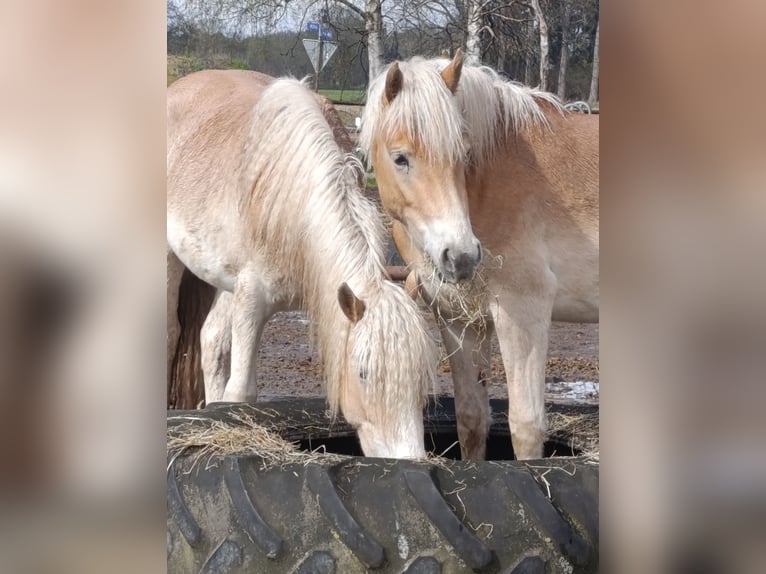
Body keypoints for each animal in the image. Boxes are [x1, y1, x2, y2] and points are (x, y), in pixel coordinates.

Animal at [167, 70, 438, 458]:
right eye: (363, 373)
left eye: (420, 377)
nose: (408, 461)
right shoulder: (251, 301)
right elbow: (240, 394)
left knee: (211, 340)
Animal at [359, 49, 599, 460]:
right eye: (401, 158)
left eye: (464, 154)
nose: (462, 257)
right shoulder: (459, 320)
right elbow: (471, 419)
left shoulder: (523, 311)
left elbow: (525, 426)